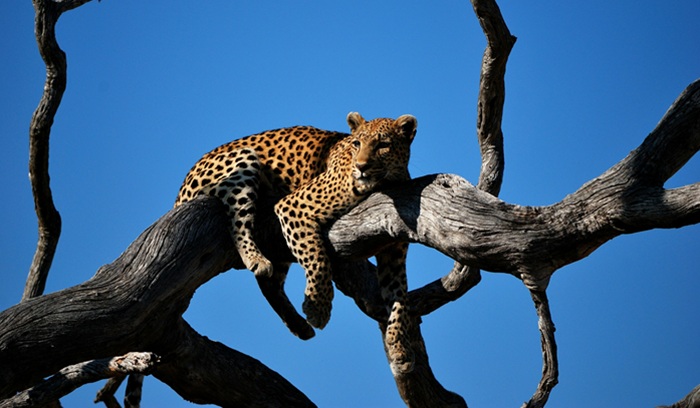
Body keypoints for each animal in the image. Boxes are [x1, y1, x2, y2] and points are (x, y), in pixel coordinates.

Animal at [175, 112, 417, 372]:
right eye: (356, 144)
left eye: (383, 145)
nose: (361, 167)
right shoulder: (293, 206)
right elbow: (317, 257)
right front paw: (318, 309)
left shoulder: (393, 254)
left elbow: (399, 297)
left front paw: (400, 348)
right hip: (242, 161)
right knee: (237, 220)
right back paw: (256, 259)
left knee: (270, 283)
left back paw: (298, 325)